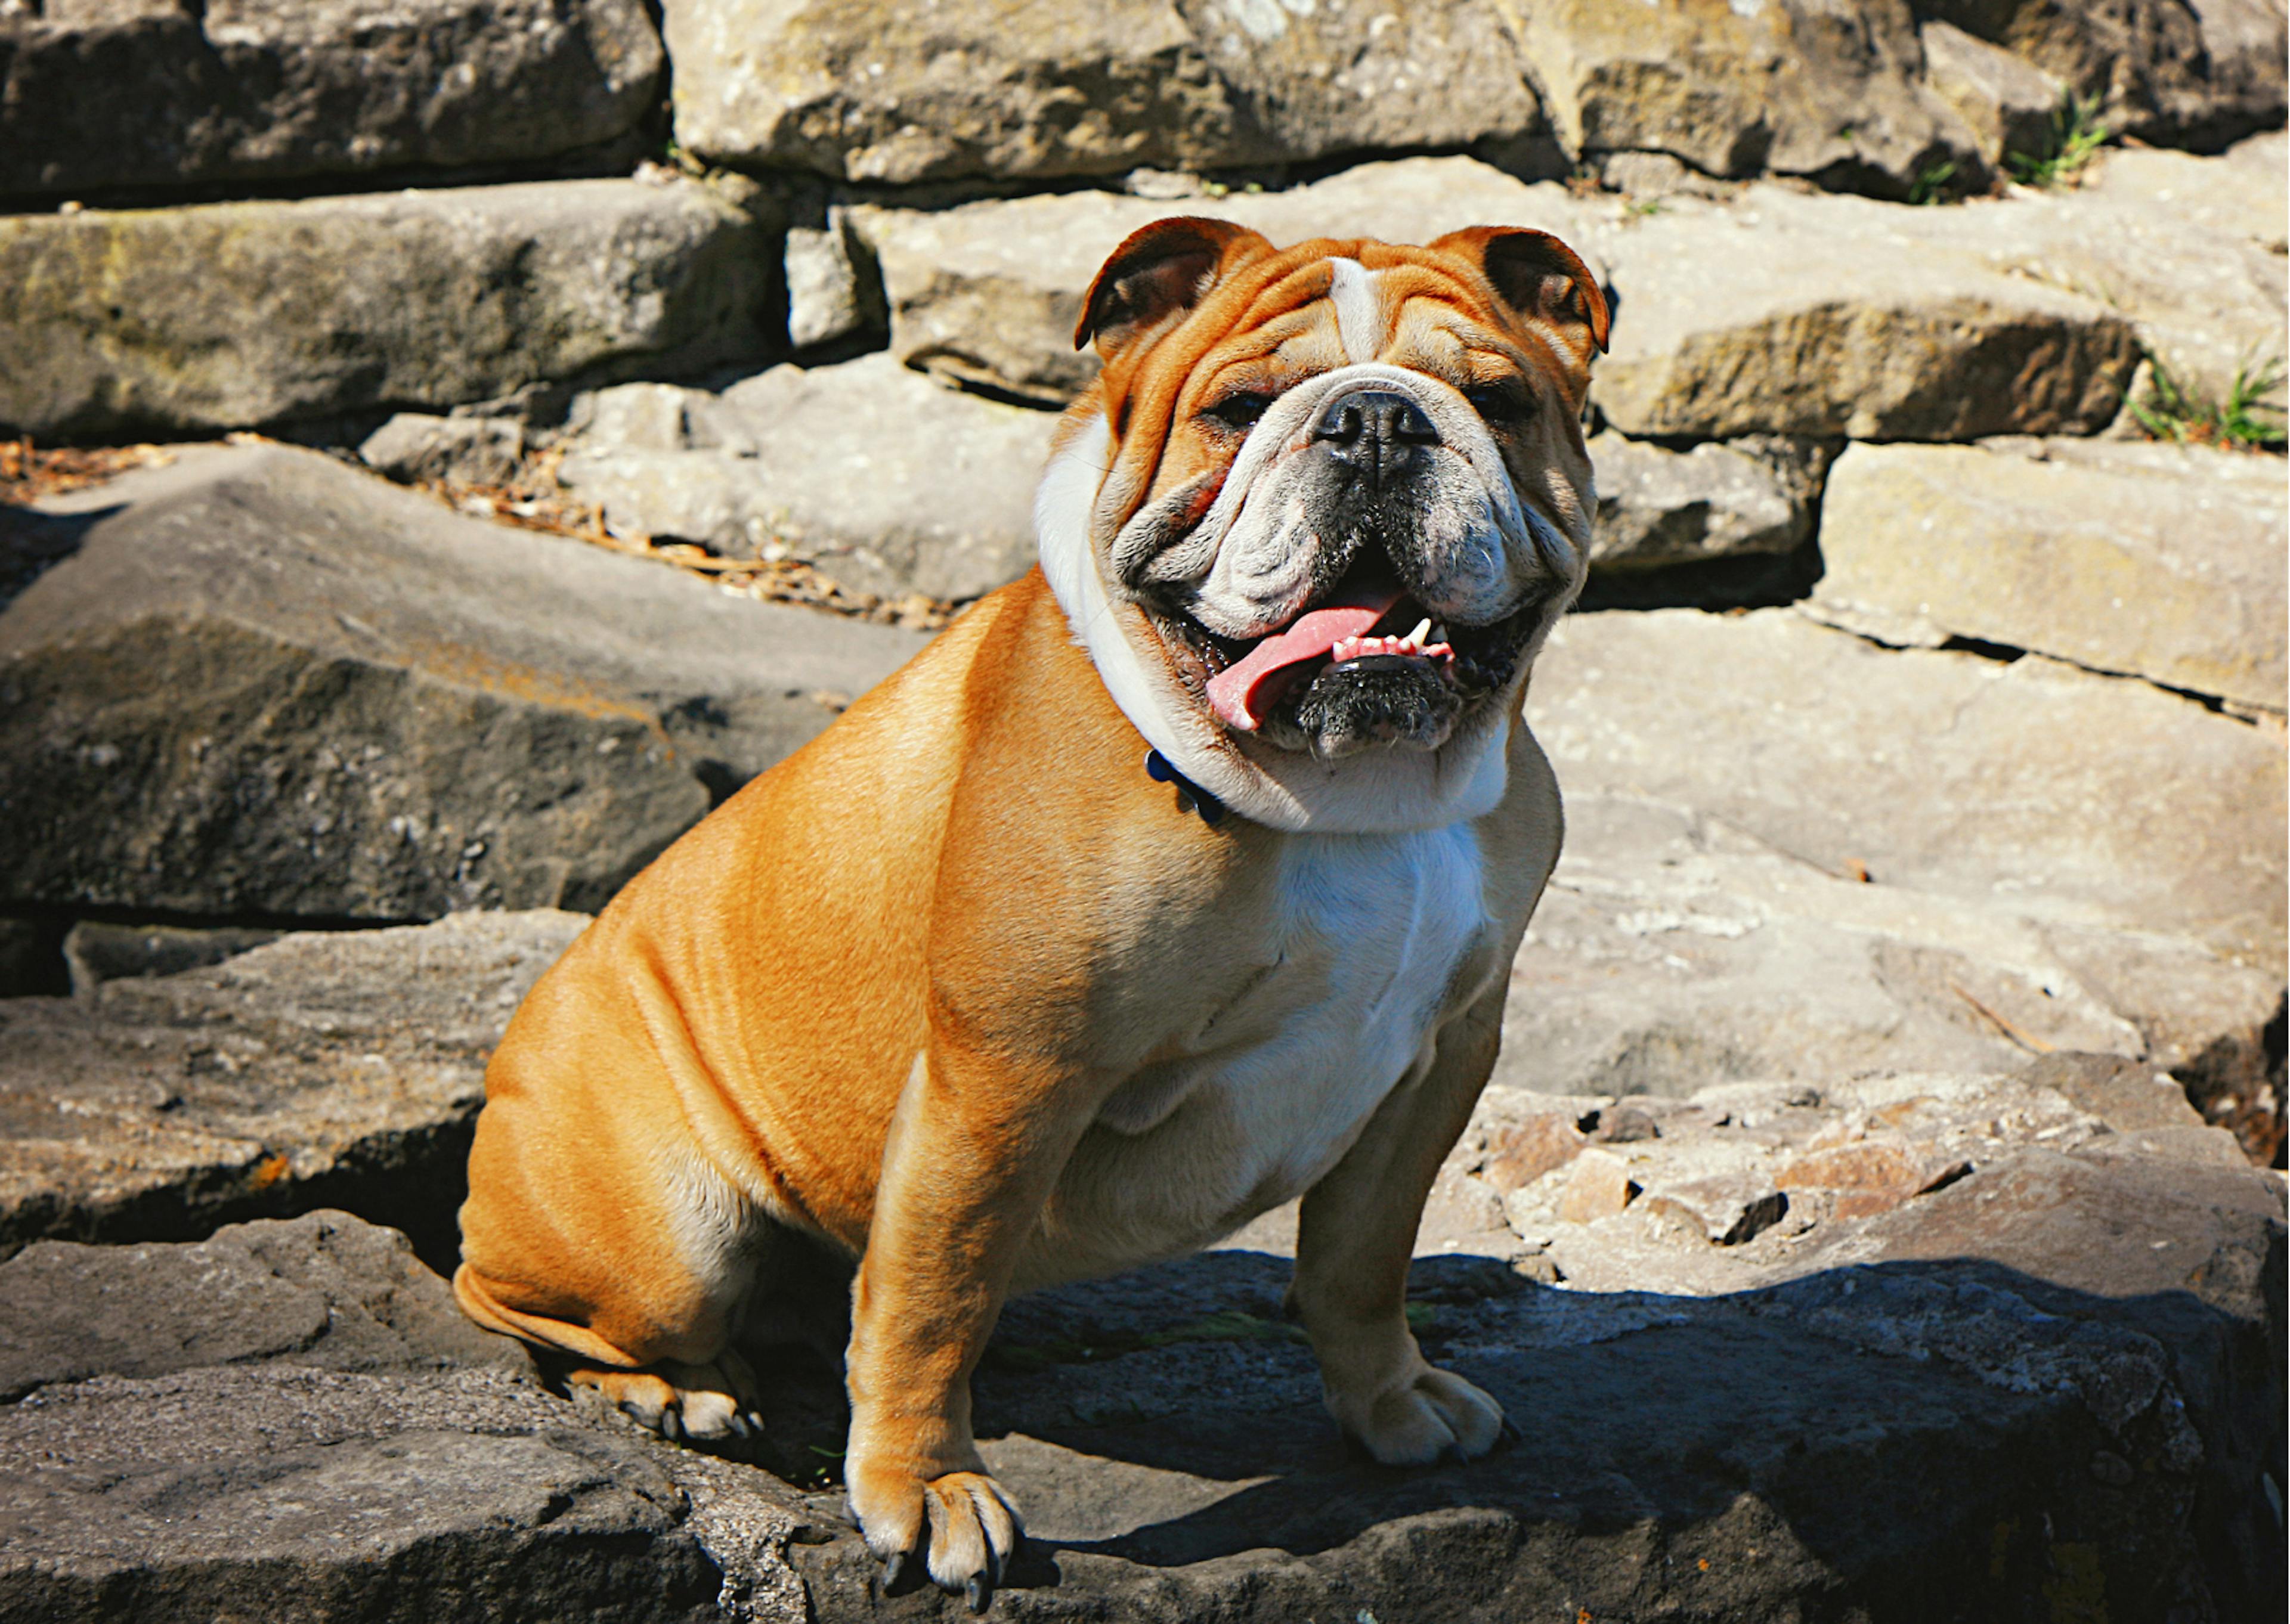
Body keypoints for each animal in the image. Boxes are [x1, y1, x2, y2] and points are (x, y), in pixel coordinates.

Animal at [451, 215, 1612, 1612]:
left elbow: (1360, 1260)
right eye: (1237, 411)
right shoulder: (1005, 1078)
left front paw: (1391, 1404)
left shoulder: (1439, 1062)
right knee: (519, 1293)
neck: (1349, 797)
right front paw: (926, 1492)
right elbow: (933, 1300)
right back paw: (677, 1388)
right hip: (665, 1236)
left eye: (1499, 403)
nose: (1378, 421)